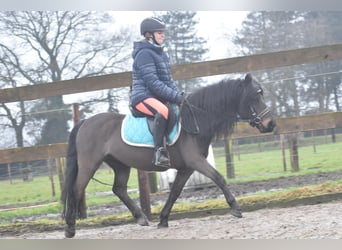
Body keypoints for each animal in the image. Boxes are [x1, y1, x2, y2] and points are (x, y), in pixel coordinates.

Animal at [61, 73, 276, 237]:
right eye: (255, 97)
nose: (270, 124)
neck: (195, 119)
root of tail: (84, 123)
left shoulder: (186, 168)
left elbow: (175, 193)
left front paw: (163, 219)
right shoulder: (196, 161)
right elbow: (219, 178)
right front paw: (235, 208)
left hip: (120, 164)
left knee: (118, 189)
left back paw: (141, 218)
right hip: (89, 164)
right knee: (76, 189)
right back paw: (70, 228)